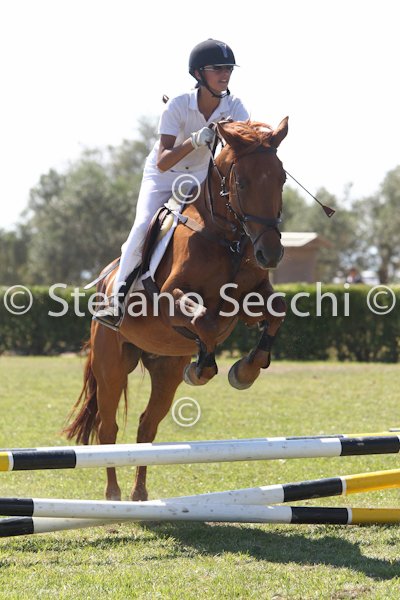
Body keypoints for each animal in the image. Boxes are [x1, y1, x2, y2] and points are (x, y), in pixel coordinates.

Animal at [64, 117, 289, 502]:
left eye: (282, 178)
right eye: (242, 182)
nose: (270, 254)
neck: (226, 237)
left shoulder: (249, 299)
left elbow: (276, 311)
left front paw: (245, 370)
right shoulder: (170, 298)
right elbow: (204, 321)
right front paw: (203, 369)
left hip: (164, 368)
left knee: (146, 427)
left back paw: (140, 495)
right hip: (112, 366)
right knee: (107, 428)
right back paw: (114, 494)